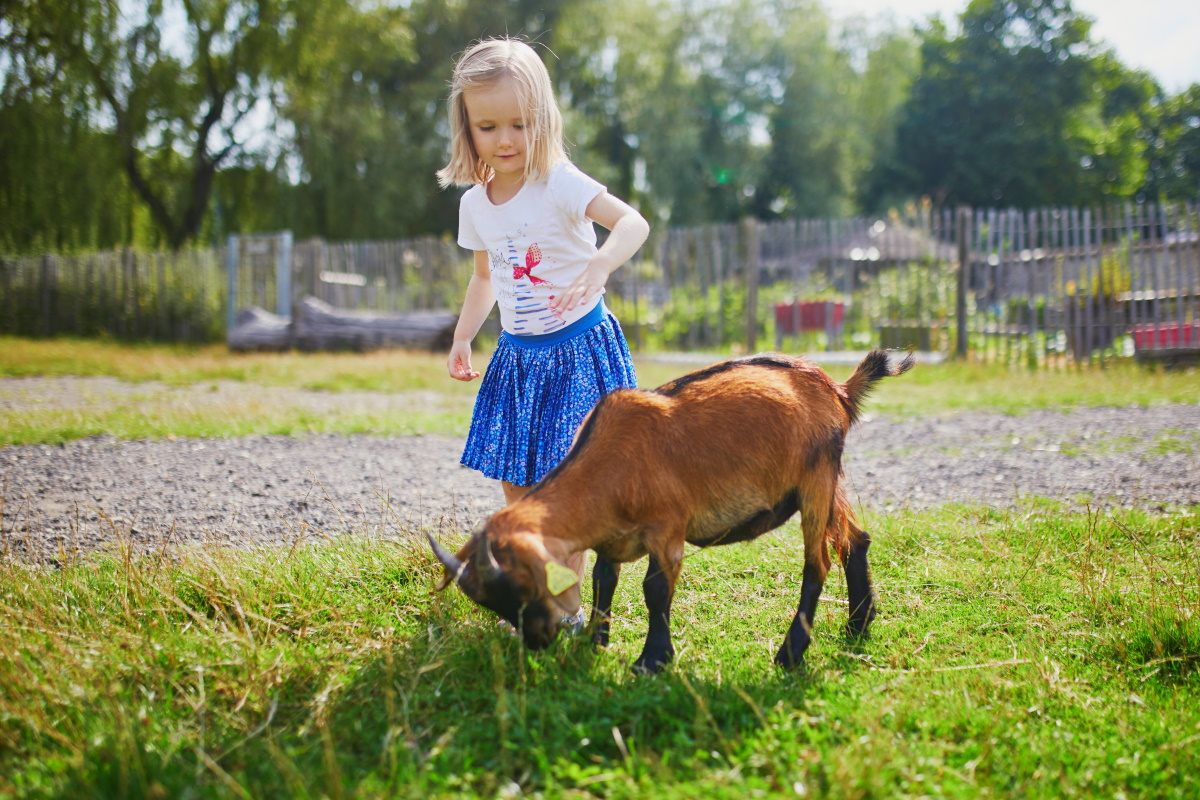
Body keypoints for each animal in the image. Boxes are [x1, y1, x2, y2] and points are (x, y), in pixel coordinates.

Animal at [427, 347, 912, 671]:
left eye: (523, 588)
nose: (540, 641)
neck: (609, 459)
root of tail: (837, 390)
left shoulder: (668, 528)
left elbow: (655, 590)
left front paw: (652, 660)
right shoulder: (610, 538)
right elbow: (603, 580)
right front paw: (594, 642)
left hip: (816, 480)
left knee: (818, 564)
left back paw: (790, 655)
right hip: (826, 482)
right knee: (855, 540)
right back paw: (859, 625)